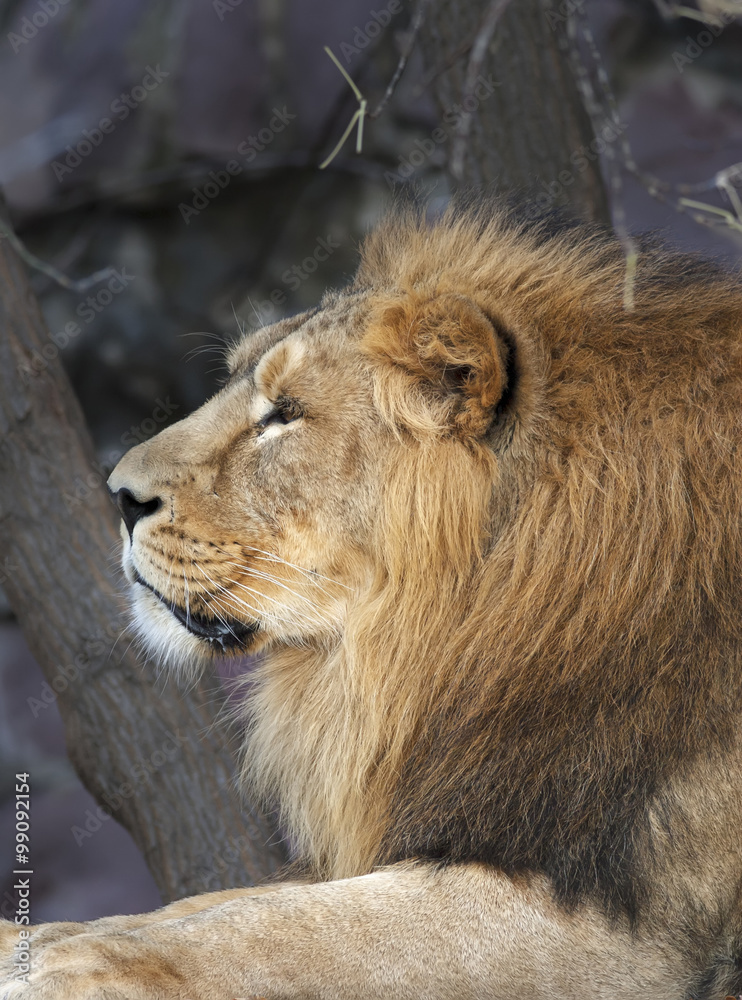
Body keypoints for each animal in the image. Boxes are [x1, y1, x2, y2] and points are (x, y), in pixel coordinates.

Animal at [2, 204, 742, 1000]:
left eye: (285, 413)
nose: (118, 495)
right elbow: (228, 901)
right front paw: (39, 936)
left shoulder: (629, 927)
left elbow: (288, 928)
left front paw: (64, 963)